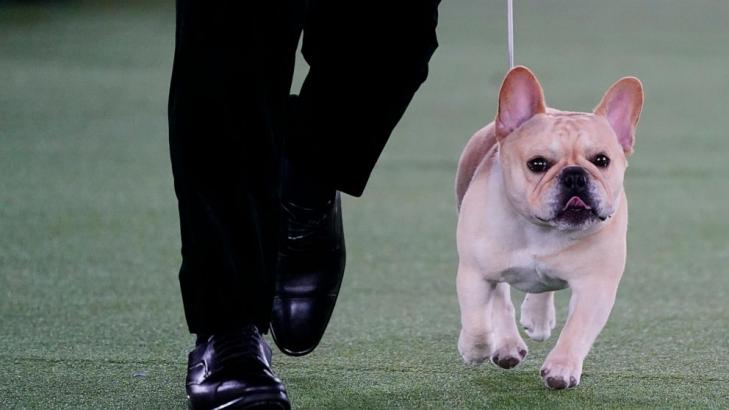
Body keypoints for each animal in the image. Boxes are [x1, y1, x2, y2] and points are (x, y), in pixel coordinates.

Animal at [456, 65, 644, 390]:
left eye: (602, 160)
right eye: (538, 164)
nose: (575, 175)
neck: (542, 230)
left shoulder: (596, 286)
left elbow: (577, 330)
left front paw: (561, 369)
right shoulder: (474, 272)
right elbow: (478, 320)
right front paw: (474, 349)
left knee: (541, 288)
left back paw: (538, 317)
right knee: (500, 300)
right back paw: (506, 345)